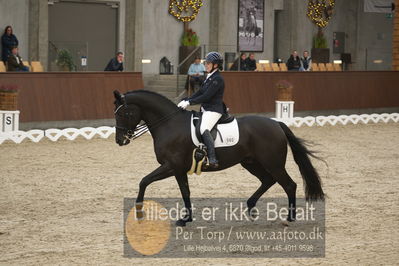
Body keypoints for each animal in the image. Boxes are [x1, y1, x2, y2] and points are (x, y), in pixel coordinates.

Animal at [113, 90, 324, 227]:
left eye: (124, 113)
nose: (120, 140)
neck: (169, 124)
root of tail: (277, 124)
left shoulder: (171, 166)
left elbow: (144, 181)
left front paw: (139, 212)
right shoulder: (178, 169)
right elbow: (184, 192)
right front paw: (185, 219)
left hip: (273, 163)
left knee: (289, 185)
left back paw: (289, 218)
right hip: (251, 163)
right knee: (268, 180)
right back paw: (251, 207)